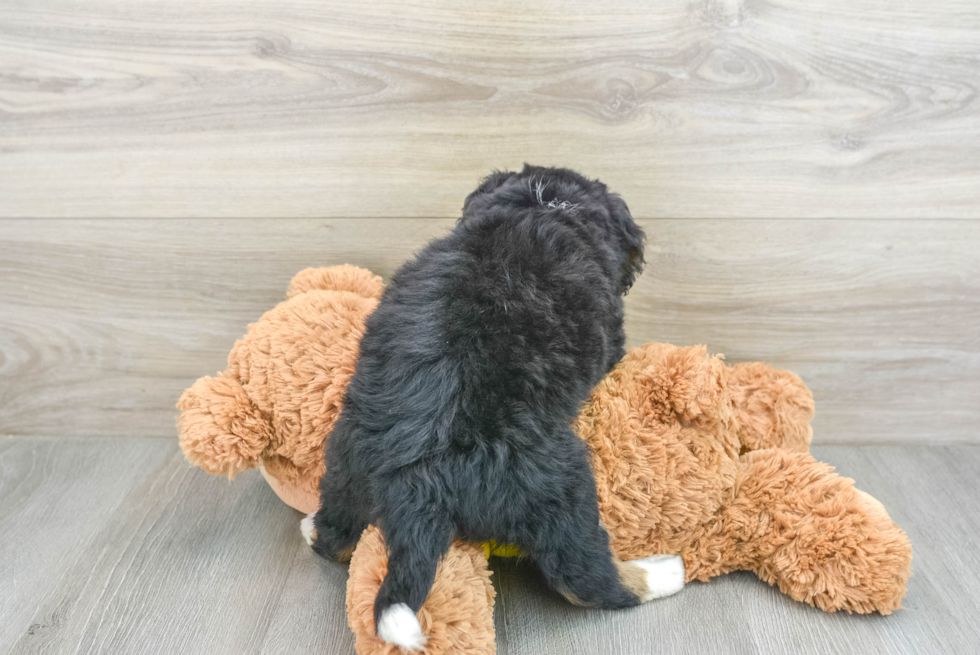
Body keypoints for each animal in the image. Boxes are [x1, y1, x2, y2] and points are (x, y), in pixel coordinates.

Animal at [302, 165, 684, 652]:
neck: (543, 204)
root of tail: (417, 479)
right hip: (558, 486)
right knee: (582, 578)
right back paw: (663, 572)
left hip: (345, 462)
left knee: (336, 534)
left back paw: (312, 528)